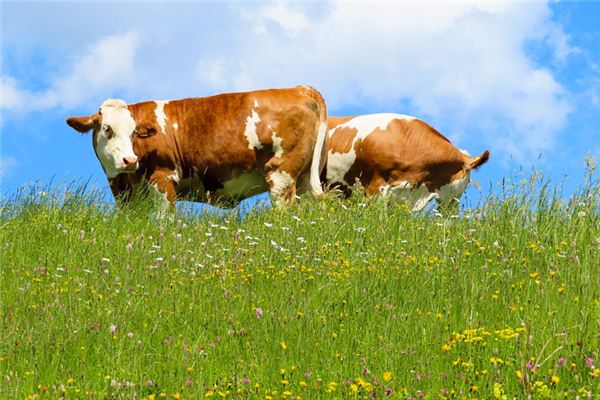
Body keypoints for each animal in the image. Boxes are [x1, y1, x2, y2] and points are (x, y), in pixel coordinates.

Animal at [66, 86, 328, 208]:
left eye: (133, 133)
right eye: (107, 129)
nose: (130, 161)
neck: (122, 179)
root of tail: (299, 88)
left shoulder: (163, 177)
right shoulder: (125, 194)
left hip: (280, 171)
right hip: (305, 175)